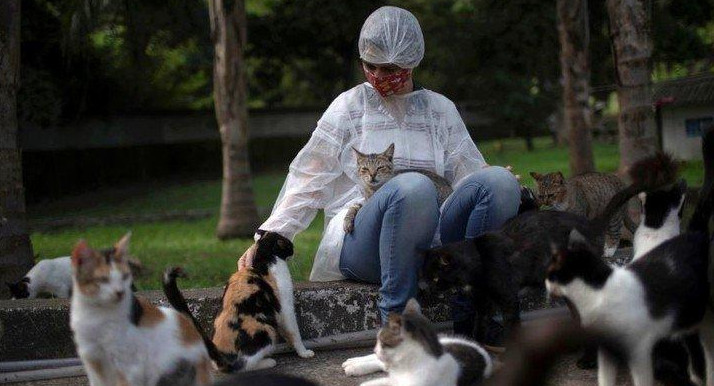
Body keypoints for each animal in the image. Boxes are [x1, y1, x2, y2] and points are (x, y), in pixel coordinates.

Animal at [172, 231, 312, 372]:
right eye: (290, 246)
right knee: (244, 366)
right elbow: (294, 332)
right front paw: (304, 352)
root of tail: (220, 358)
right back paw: (268, 362)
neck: (263, 262)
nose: (294, 251)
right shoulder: (285, 307)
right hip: (266, 330)